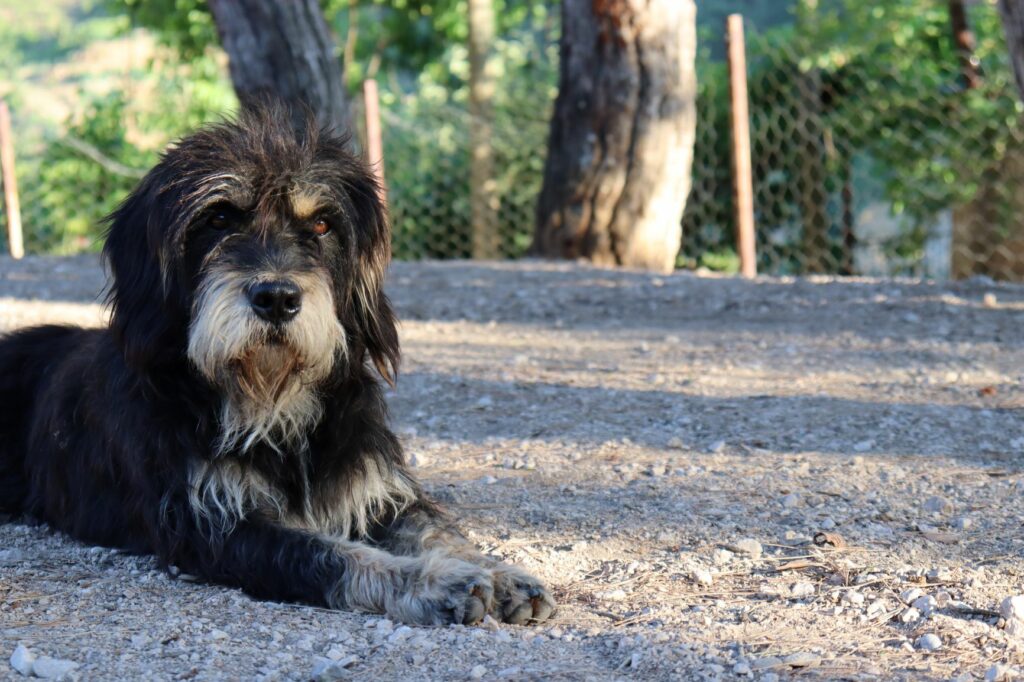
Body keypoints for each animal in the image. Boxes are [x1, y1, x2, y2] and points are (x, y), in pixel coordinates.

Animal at [0, 107, 552, 626]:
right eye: (218, 219)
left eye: (323, 224)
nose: (278, 298)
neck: (273, 404)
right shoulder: (214, 525)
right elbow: (332, 555)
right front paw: (430, 581)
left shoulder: (375, 488)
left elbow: (437, 527)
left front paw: (500, 573)